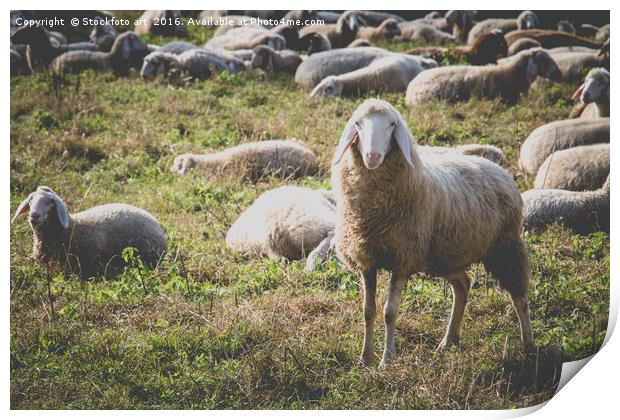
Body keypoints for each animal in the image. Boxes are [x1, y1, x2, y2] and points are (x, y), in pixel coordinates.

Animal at [332, 98, 536, 368]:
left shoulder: (403, 259)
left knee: (520, 297)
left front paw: (387, 359)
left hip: (505, 246)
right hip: (446, 256)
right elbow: (368, 311)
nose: (372, 156)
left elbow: (389, 312)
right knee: (463, 285)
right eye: (358, 124)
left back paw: (529, 345)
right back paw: (449, 340)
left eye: (392, 125)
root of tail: (496, 167)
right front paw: (365, 359)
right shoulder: (367, 259)